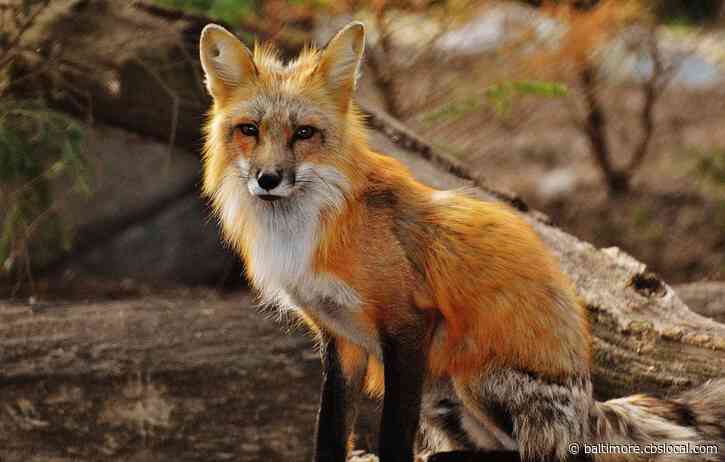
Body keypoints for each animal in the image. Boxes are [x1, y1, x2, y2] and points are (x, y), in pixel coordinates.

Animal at [198, 20, 725, 462]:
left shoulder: (408, 325)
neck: (308, 226)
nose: (268, 179)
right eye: (249, 130)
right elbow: (329, 432)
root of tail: (593, 404)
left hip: (471, 376)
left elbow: (393, 436)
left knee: (539, 455)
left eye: (304, 133)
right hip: (441, 395)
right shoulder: (340, 338)